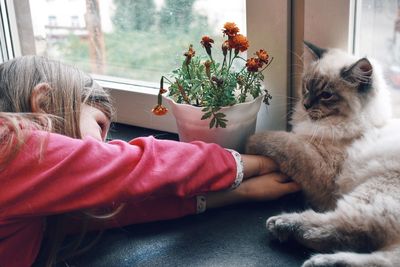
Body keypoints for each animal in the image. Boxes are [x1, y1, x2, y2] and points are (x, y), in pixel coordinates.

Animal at [245, 42, 400, 267]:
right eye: (306, 87)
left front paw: (249, 142)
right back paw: (322, 261)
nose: (306, 105)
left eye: (326, 95)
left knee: (349, 228)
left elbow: (283, 140)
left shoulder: (320, 167)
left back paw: (282, 225)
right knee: (380, 257)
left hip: (370, 192)